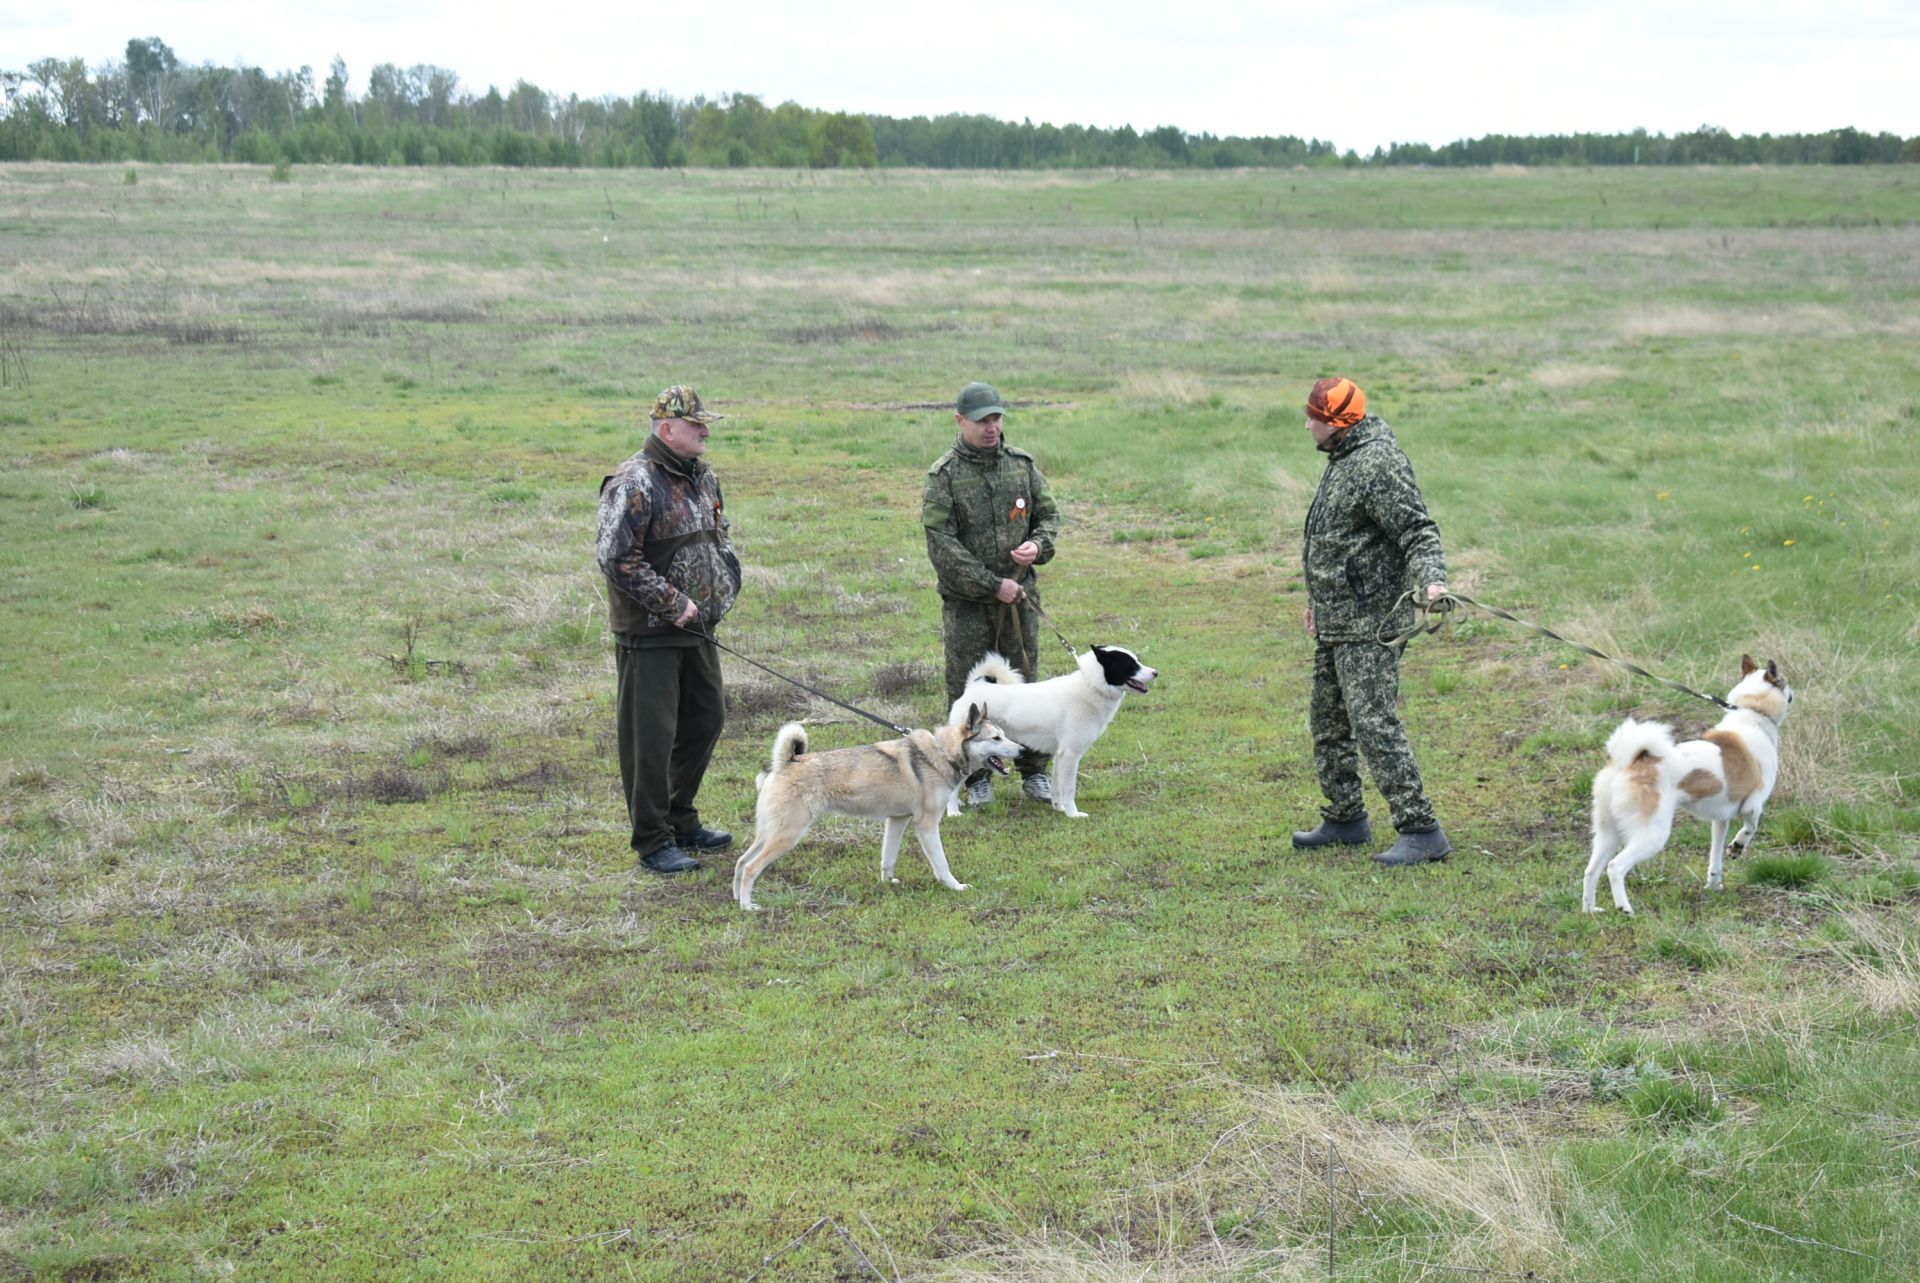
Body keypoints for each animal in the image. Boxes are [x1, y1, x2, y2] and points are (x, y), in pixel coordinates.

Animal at [729, 706, 1029, 906]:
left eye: (1004, 735)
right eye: (996, 738)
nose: (1023, 750)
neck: (941, 754)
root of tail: (786, 763)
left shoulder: (897, 820)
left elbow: (888, 857)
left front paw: (888, 883)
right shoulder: (927, 824)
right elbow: (941, 863)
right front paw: (955, 886)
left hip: (769, 833)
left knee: (741, 862)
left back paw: (735, 898)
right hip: (788, 835)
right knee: (752, 867)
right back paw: (747, 907)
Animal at [944, 641, 1152, 822]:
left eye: (1137, 660)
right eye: (1129, 664)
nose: (1155, 672)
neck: (1090, 686)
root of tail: (975, 685)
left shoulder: (1061, 755)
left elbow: (1057, 787)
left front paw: (1059, 808)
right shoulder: (1070, 755)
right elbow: (1069, 789)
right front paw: (1073, 814)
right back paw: (952, 811)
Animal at [1582, 656, 1789, 918]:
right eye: (1785, 682)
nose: (1793, 694)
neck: (1752, 714)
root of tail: (1629, 761)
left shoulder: (1720, 820)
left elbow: (1715, 857)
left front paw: (1714, 885)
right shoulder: (1753, 805)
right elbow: (1750, 828)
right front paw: (1737, 847)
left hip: (1608, 833)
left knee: (1591, 871)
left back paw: (1589, 910)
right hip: (1652, 835)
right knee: (1615, 867)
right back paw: (1625, 908)